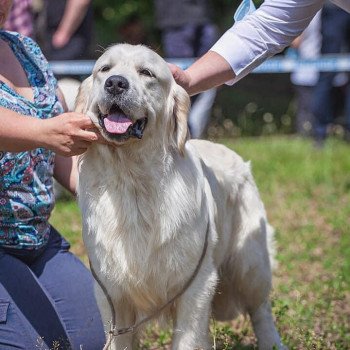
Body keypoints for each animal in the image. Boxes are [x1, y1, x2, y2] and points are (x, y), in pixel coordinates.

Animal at [75, 43, 284, 350]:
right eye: (105, 69)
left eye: (146, 72)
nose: (115, 83)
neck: (132, 180)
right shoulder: (112, 293)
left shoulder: (195, 286)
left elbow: (187, 338)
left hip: (250, 262)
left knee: (261, 310)